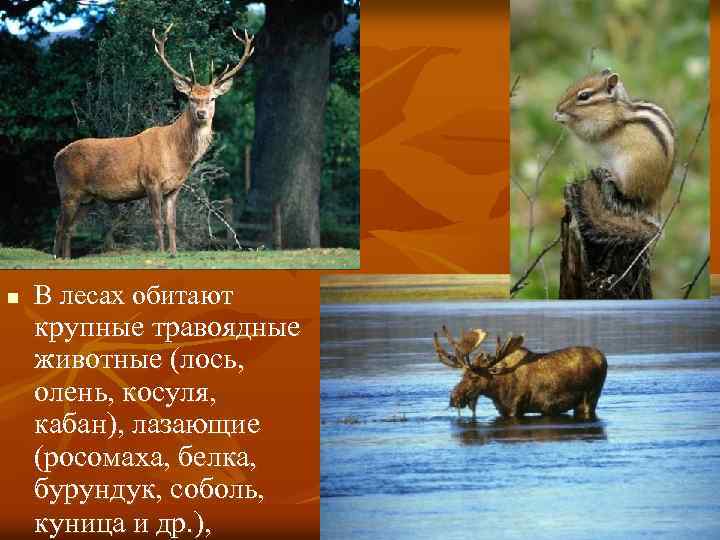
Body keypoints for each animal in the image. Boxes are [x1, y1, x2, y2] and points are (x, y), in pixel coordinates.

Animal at [53, 23, 255, 259]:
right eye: (191, 98)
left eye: (212, 98)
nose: (202, 114)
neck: (177, 155)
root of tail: (56, 157)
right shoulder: (151, 181)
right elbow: (157, 221)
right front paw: (160, 251)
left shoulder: (174, 187)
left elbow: (172, 222)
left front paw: (174, 252)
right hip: (68, 189)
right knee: (60, 224)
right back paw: (56, 257)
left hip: (87, 197)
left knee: (70, 228)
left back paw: (66, 258)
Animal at [433, 325, 607, 420]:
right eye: (461, 375)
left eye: (474, 377)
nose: (454, 398)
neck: (495, 389)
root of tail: (603, 359)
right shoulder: (503, 409)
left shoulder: (515, 408)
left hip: (590, 397)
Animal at [553, 69, 675, 237]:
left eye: (584, 96)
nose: (559, 107)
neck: (611, 106)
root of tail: (656, 198)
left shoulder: (602, 123)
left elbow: (588, 131)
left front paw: (562, 116)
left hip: (632, 171)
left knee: (628, 192)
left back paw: (613, 179)